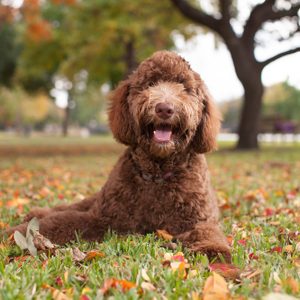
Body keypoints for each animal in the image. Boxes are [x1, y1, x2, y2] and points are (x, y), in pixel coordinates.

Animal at [4, 51, 231, 260]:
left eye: (184, 88)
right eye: (149, 84)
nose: (164, 108)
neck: (157, 175)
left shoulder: (197, 219)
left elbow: (208, 231)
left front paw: (213, 249)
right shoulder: (104, 217)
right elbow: (59, 221)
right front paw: (12, 233)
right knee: (71, 207)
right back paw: (37, 213)